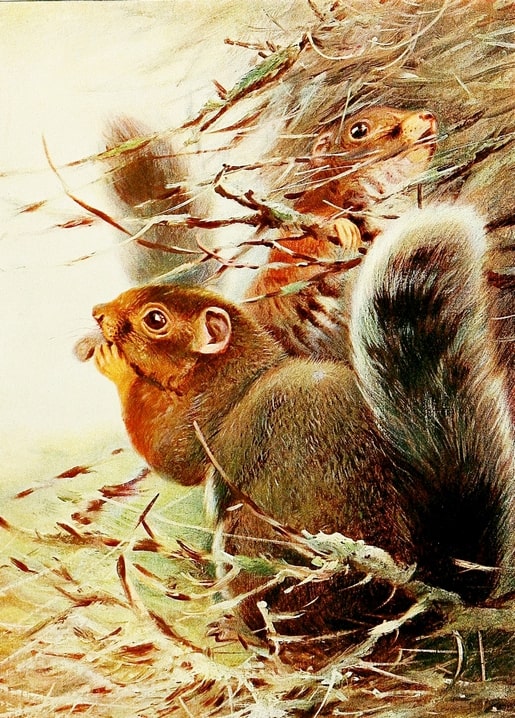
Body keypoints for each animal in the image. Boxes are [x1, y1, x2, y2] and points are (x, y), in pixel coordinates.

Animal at [79, 205, 515, 660]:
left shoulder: (204, 414)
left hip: (252, 553)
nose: (97, 312)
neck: (235, 366)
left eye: (155, 320)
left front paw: (115, 365)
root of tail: (404, 603)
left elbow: (172, 454)